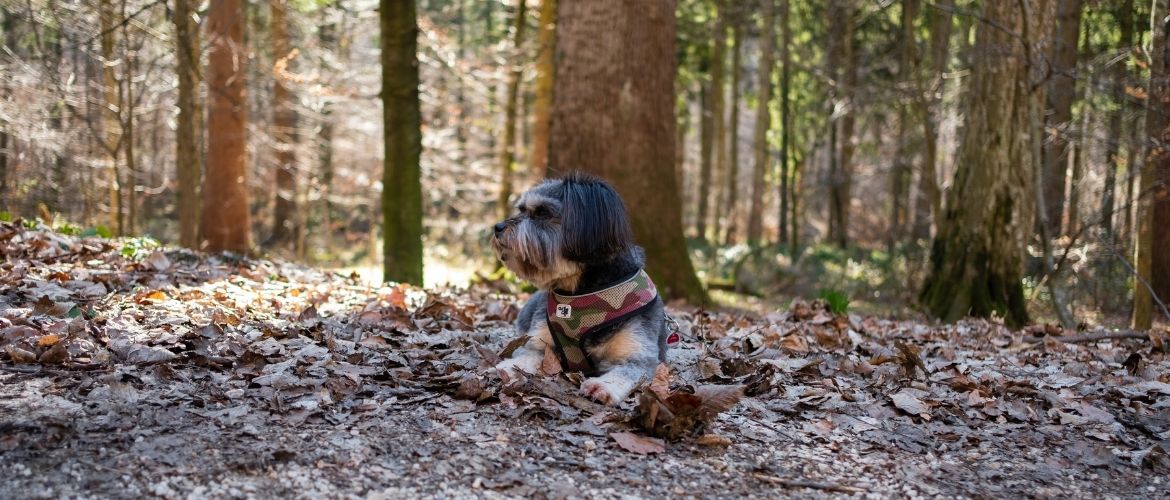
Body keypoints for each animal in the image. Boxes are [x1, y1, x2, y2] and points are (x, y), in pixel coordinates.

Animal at [489, 172, 669, 407]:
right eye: (521, 209)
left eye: (543, 213)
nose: (497, 227)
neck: (579, 292)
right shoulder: (539, 342)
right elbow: (527, 355)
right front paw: (507, 368)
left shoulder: (639, 358)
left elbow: (626, 372)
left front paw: (603, 386)